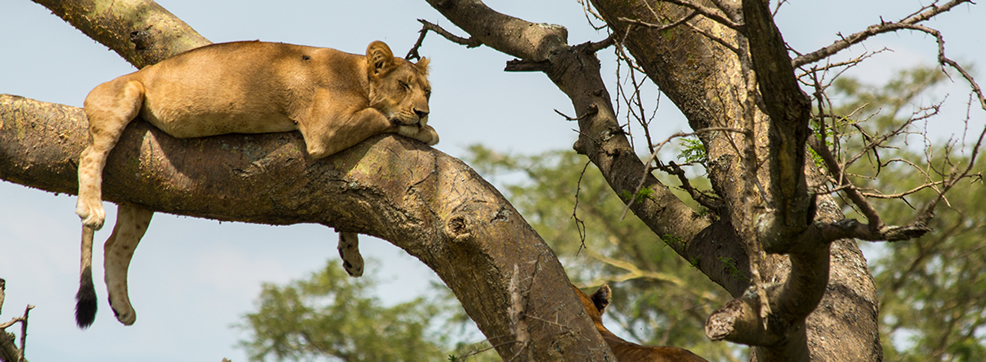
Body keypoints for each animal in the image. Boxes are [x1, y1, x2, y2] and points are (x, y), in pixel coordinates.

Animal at [73, 39, 434, 328]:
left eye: (428, 91)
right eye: (403, 85)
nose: (423, 112)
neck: (359, 77)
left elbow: (346, 208)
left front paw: (351, 254)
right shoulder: (325, 130)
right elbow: (380, 116)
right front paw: (424, 130)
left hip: (141, 190)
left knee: (115, 245)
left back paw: (123, 308)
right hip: (127, 95)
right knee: (90, 155)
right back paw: (91, 208)